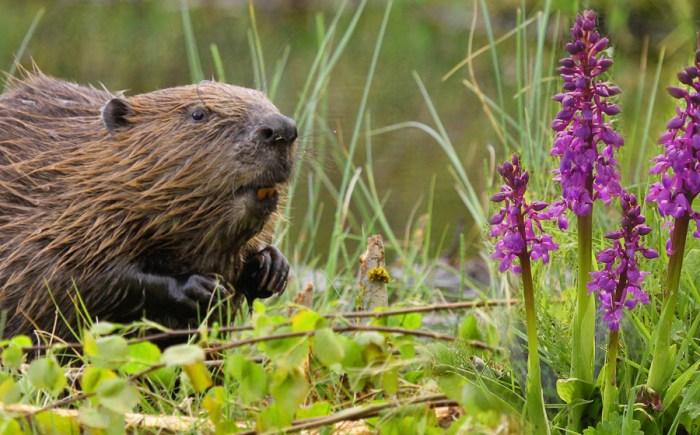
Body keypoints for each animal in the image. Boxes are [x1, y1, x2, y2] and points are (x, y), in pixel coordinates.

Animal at [0, 70, 296, 344]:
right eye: (198, 114)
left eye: (266, 101)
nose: (282, 129)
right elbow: (65, 278)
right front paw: (200, 288)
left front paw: (271, 266)